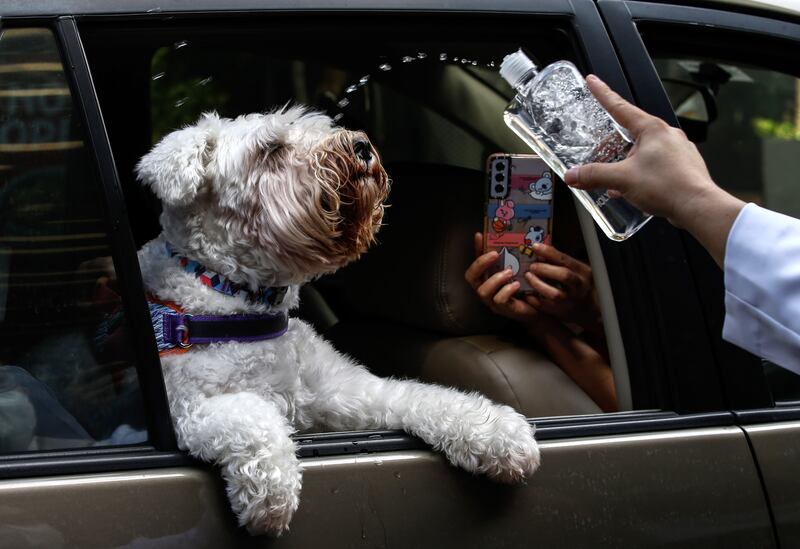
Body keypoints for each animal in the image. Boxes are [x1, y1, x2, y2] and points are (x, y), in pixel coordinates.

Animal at [134, 105, 540, 532]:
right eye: (271, 149)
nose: (361, 145)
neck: (243, 305)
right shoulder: (185, 407)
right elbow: (251, 414)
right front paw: (272, 493)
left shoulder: (347, 391)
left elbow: (422, 396)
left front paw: (499, 432)